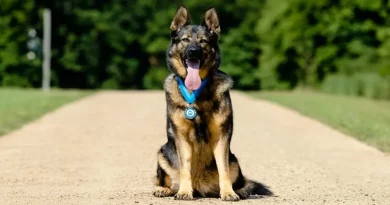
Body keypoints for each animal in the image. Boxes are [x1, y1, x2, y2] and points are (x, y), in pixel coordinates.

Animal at [152, 5, 272, 202]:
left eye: (203, 41)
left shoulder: (221, 137)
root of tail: (199, 186)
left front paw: (228, 193)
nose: (193, 51)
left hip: (234, 160)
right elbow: (184, 168)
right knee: (165, 180)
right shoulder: (182, 138)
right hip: (163, 153)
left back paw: (237, 191)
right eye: (185, 40)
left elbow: (223, 169)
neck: (197, 94)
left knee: (242, 181)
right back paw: (166, 189)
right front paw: (184, 192)